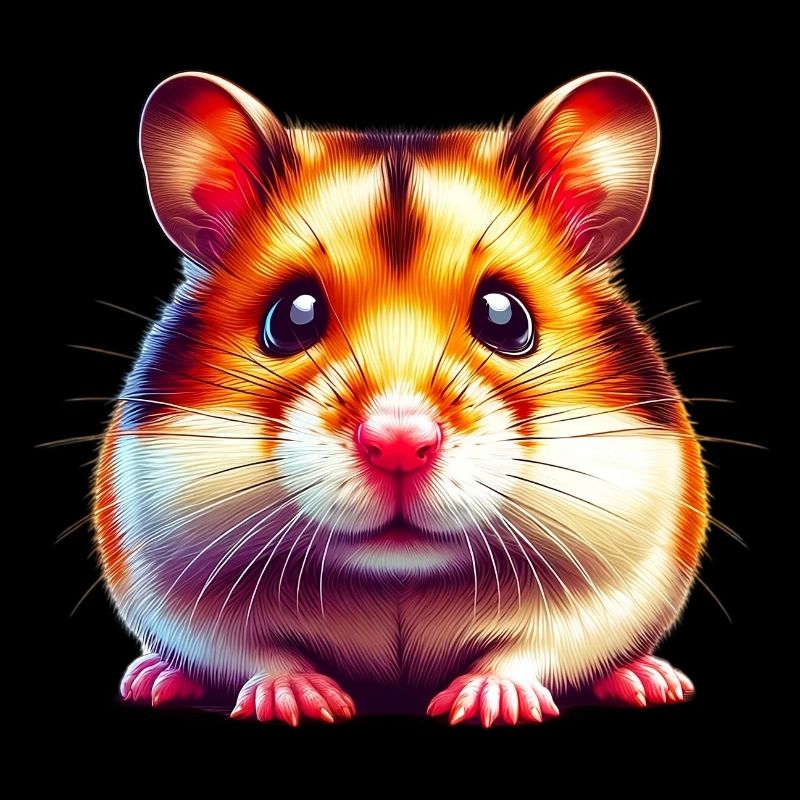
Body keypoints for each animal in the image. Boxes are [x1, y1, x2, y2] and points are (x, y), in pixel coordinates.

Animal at [94, 71, 704, 725]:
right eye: (291, 317)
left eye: (506, 317)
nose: (398, 445)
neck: (397, 576)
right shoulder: (164, 568)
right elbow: (250, 649)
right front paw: (301, 702)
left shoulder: (625, 573)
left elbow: (535, 648)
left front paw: (490, 705)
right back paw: (153, 680)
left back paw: (651, 680)